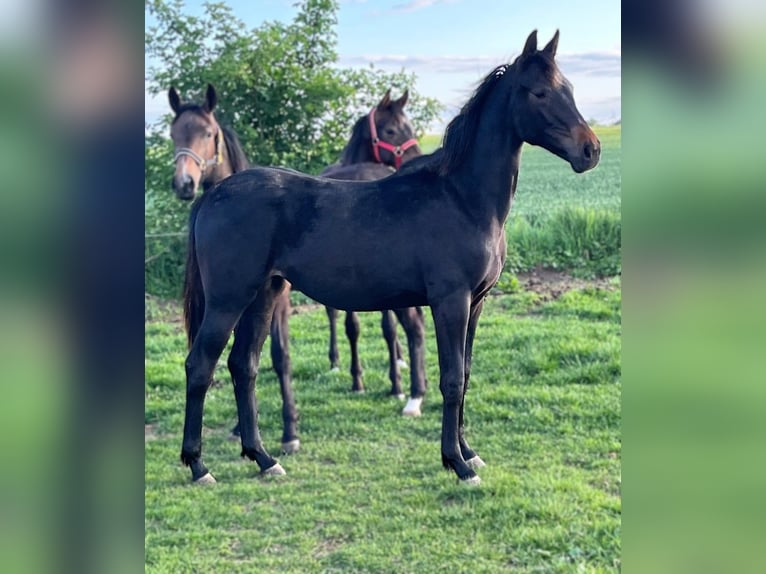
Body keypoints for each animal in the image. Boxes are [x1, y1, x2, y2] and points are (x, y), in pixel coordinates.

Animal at [168, 84, 299, 454]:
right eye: (173, 133)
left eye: (208, 133)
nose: (184, 183)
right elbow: (241, 361)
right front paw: (242, 428)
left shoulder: (278, 303)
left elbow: (280, 357)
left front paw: (289, 431)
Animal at [320, 89, 428, 417]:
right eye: (391, 131)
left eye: (410, 126)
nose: (417, 159)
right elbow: (354, 326)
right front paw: (359, 378)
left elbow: (386, 328)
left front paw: (395, 382)